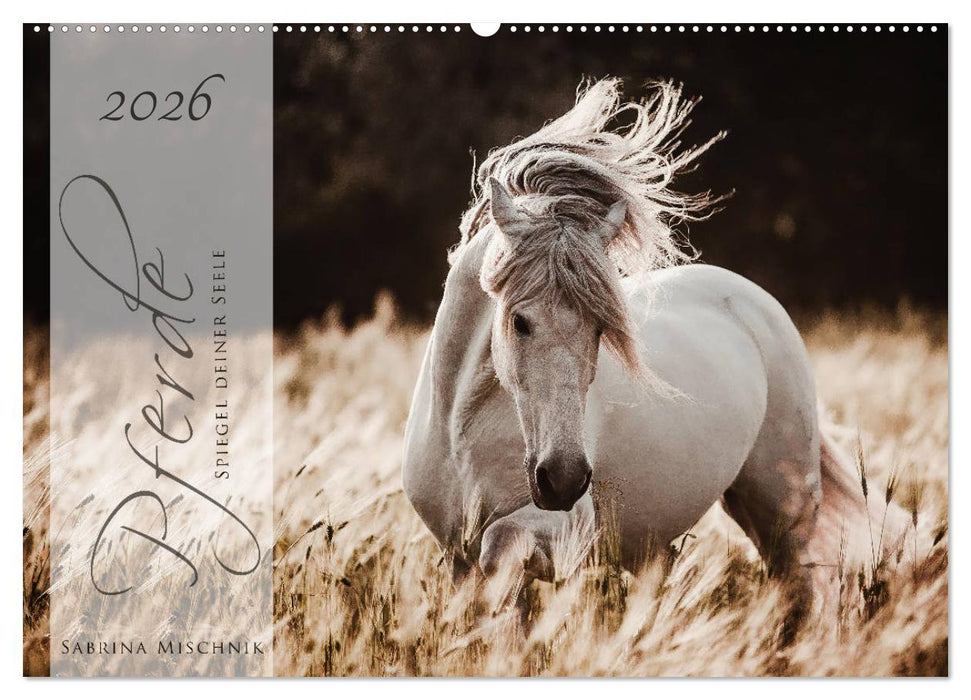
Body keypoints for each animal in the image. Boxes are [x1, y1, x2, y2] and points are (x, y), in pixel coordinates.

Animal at [402, 79, 907, 606]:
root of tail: (756, 302)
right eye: (519, 322)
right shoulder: (454, 557)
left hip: (784, 506)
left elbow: (499, 549)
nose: (563, 479)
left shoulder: (564, 527)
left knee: (805, 583)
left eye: (601, 329)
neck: (463, 428)